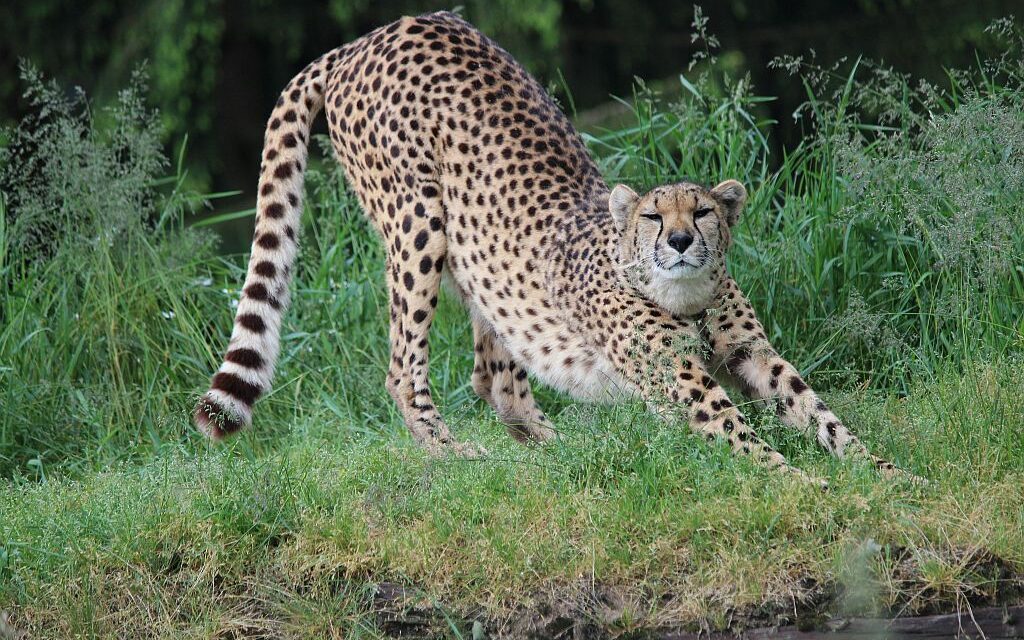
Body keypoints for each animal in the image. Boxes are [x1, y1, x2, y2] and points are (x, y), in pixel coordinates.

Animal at [193, 11, 913, 483]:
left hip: (480, 264)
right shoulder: (675, 374)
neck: (684, 295)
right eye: (654, 217)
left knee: (493, 378)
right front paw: (799, 483)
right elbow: (735, 427)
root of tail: (363, 40)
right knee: (403, 370)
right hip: (418, 223)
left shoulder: (752, 354)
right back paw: (455, 454)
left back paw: (560, 448)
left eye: (703, 211)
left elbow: (818, 411)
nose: (681, 240)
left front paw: (887, 472)